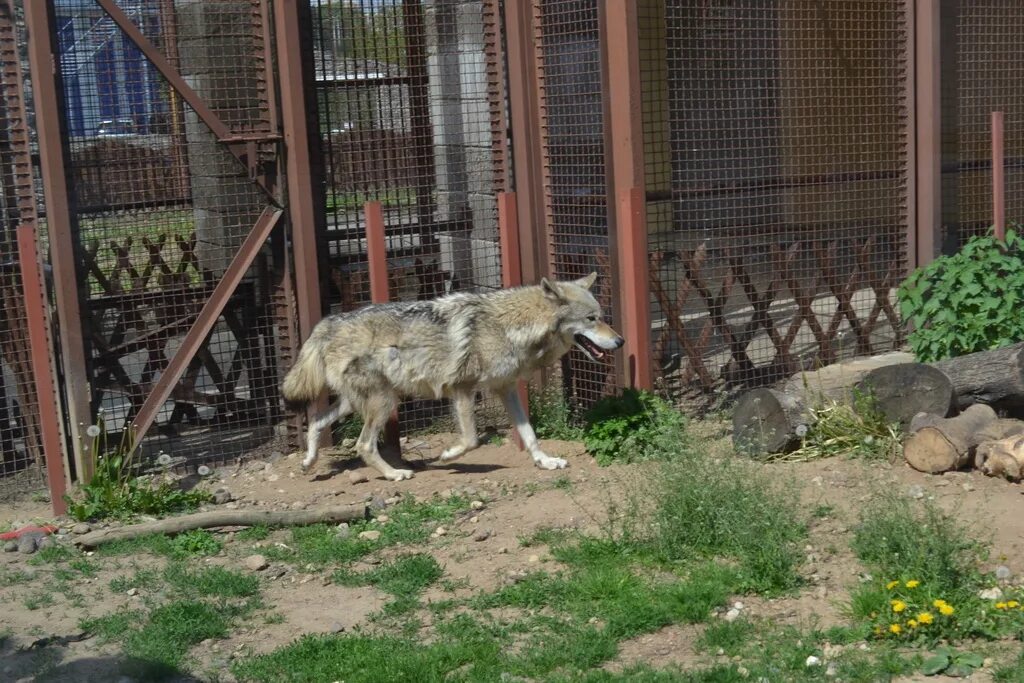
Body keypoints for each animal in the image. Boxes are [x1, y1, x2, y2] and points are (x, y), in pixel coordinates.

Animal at [280, 272, 622, 481]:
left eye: (603, 317)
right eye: (591, 319)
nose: (620, 341)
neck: (510, 327)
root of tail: (328, 322)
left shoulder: (506, 389)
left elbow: (530, 435)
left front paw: (545, 461)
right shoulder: (462, 389)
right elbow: (471, 440)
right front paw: (447, 456)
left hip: (359, 402)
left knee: (316, 421)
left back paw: (309, 462)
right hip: (384, 402)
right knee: (363, 445)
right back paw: (394, 474)